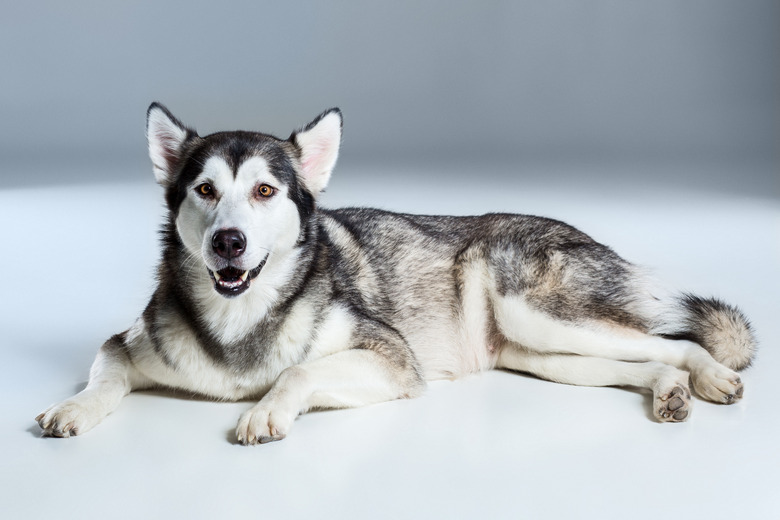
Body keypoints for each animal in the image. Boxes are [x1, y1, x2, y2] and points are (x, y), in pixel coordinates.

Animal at [35, 103, 756, 444]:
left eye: (265, 191)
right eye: (204, 191)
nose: (229, 243)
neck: (241, 321)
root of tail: (577, 230)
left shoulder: (391, 360)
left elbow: (299, 372)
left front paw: (267, 412)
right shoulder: (126, 344)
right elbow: (103, 376)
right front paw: (72, 408)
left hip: (539, 313)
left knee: (677, 340)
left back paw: (710, 375)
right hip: (543, 356)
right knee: (645, 358)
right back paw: (667, 390)